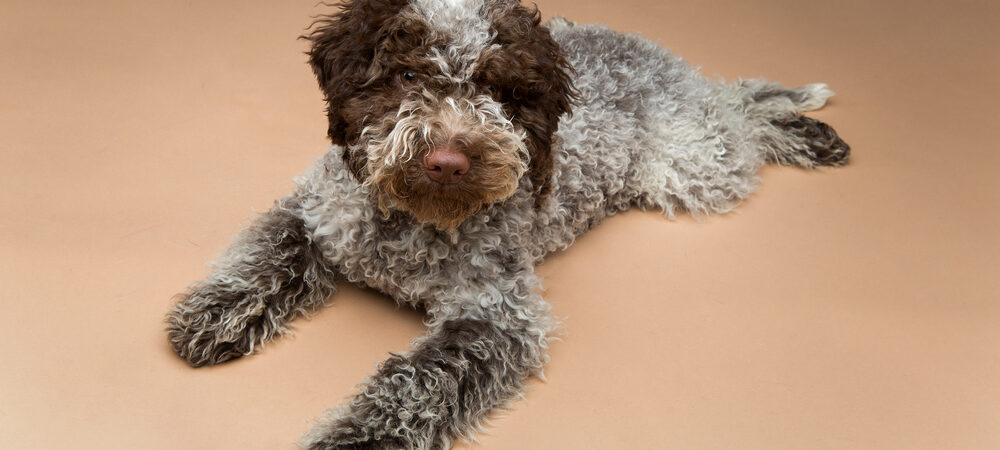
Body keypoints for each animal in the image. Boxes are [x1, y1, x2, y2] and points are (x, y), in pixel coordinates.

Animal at [166, 0, 852, 446]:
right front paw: (218, 311)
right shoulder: (316, 214)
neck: (409, 221)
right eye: (408, 75)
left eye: (499, 92)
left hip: (694, 165)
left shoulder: (496, 319)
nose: (447, 159)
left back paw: (805, 128)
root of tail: (654, 51)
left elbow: (413, 383)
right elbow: (268, 253)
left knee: (741, 110)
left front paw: (353, 441)